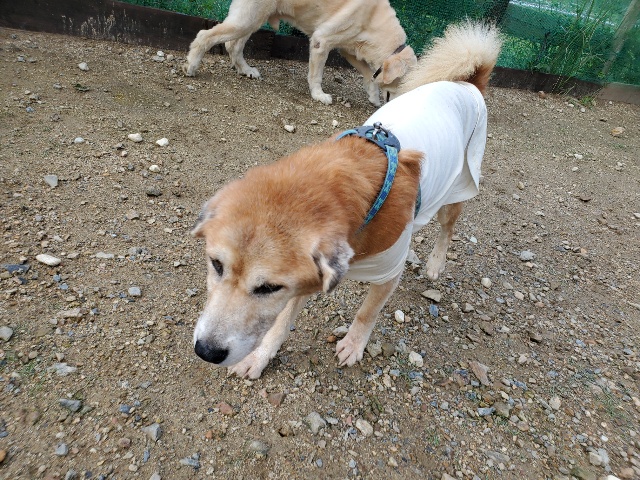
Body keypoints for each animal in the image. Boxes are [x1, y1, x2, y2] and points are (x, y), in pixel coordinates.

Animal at [182, 0, 417, 105]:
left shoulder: (348, 50)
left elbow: (370, 75)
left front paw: (374, 97)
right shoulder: (322, 41)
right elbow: (316, 75)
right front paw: (319, 95)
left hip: (252, 20)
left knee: (233, 46)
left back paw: (246, 70)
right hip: (246, 20)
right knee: (205, 35)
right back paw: (191, 65)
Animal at [192, 21, 502, 379]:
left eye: (268, 288)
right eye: (216, 265)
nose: (206, 351)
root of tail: (467, 83)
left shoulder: (386, 273)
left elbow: (367, 313)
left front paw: (354, 346)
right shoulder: (307, 279)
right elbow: (281, 321)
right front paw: (260, 356)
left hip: (457, 190)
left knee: (447, 230)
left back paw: (435, 264)